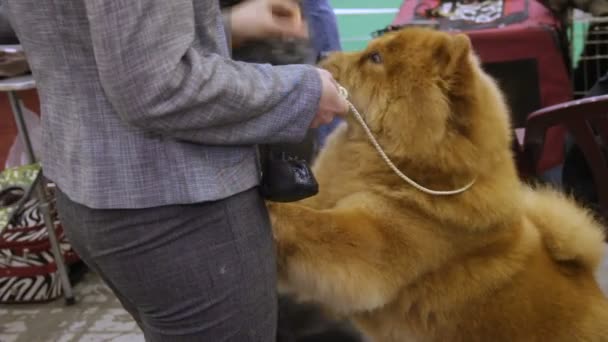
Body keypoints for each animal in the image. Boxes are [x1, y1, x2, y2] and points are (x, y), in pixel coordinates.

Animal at [268, 28, 608, 340]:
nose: (321, 53)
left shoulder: (373, 237)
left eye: (375, 58)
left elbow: (314, 224)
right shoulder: (323, 194)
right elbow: (307, 209)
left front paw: (271, 211)